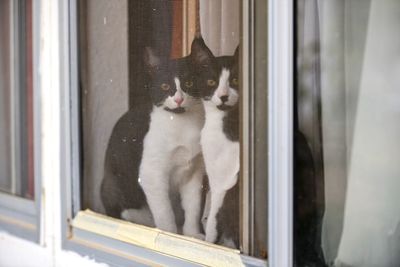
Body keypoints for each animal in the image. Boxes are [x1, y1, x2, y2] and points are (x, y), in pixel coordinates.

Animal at [100, 43, 206, 240]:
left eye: (188, 83)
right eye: (165, 86)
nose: (179, 99)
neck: (181, 124)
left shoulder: (194, 173)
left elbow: (193, 208)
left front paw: (192, 235)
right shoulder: (152, 173)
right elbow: (165, 213)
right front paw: (169, 236)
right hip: (115, 187)